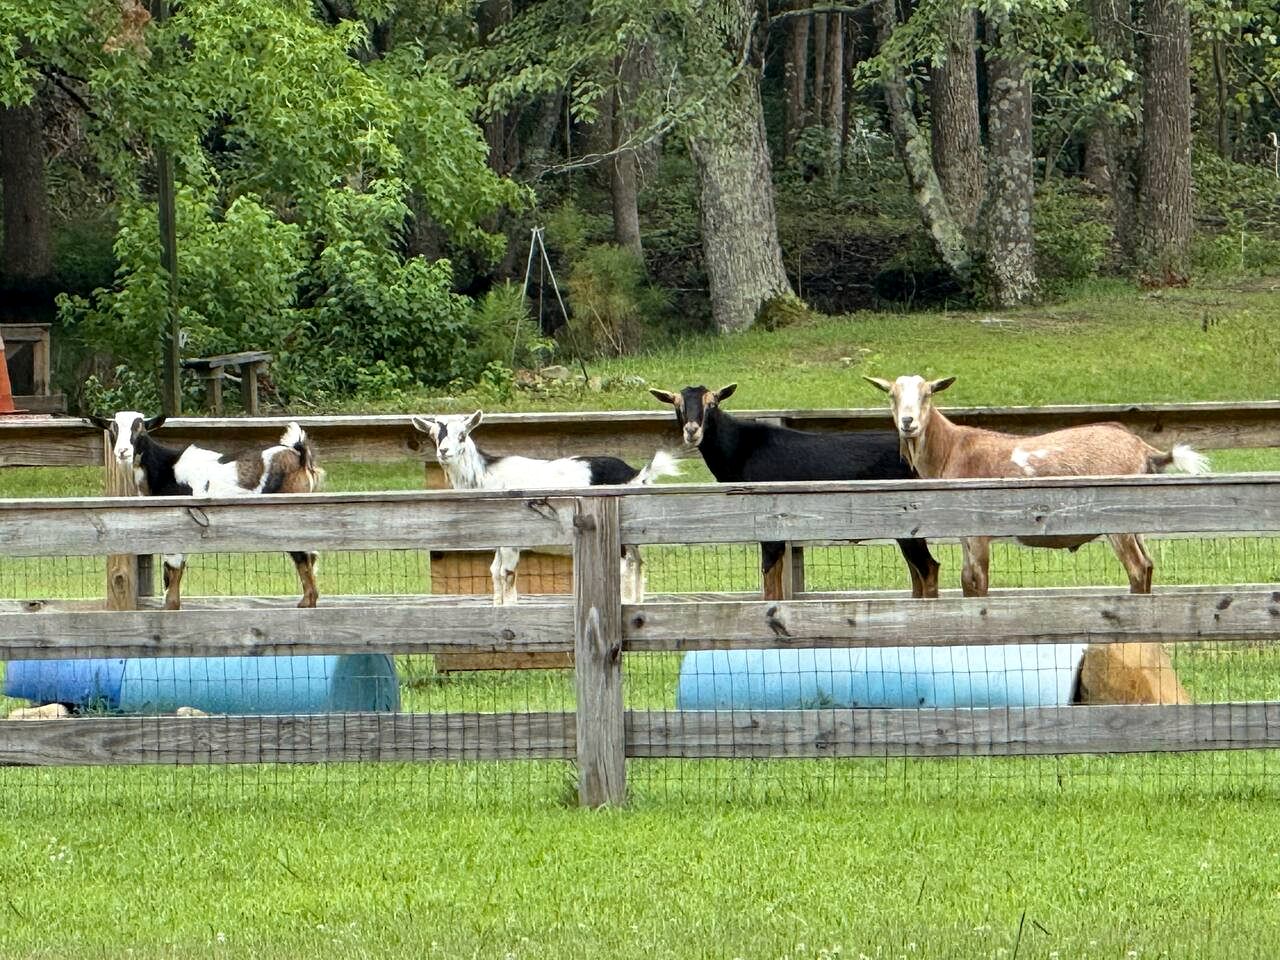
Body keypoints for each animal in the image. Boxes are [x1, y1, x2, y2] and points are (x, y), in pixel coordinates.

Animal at [86, 412, 323, 610]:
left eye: (141, 429)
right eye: (112, 429)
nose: (122, 451)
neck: (165, 467)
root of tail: (299, 455)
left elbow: (172, 574)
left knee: (303, 556)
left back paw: (306, 603)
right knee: (310, 556)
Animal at [411, 410, 681, 605]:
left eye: (462, 435)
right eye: (434, 435)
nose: (443, 451)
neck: (487, 477)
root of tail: (635, 474)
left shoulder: (512, 538)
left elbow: (507, 573)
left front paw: (509, 609)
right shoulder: (498, 538)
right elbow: (494, 571)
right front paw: (497, 607)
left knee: (624, 565)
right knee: (637, 562)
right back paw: (636, 603)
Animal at [649, 384, 940, 598]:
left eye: (712, 403)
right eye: (676, 404)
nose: (692, 431)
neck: (741, 449)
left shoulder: (769, 526)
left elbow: (770, 583)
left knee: (928, 568)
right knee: (919, 570)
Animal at [863, 374, 1210, 596]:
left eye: (928, 394)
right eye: (892, 395)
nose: (908, 423)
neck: (952, 448)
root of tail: (1143, 448)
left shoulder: (978, 531)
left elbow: (979, 581)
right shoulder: (963, 533)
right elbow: (966, 581)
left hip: (1119, 522)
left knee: (1137, 567)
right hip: (1138, 519)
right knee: (1148, 565)